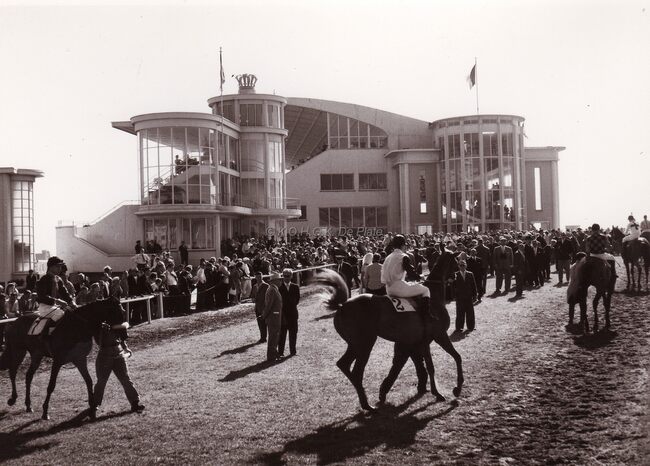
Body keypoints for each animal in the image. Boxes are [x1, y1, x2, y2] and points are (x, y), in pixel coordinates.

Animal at [313, 245, 462, 411]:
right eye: (456, 260)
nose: (458, 273)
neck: (433, 299)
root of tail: (341, 306)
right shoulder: (439, 336)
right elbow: (451, 359)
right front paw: (452, 389)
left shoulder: (418, 342)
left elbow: (422, 365)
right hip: (365, 344)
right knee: (357, 371)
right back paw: (367, 405)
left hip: (354, 345)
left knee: (344, 364)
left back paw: (367, 400)